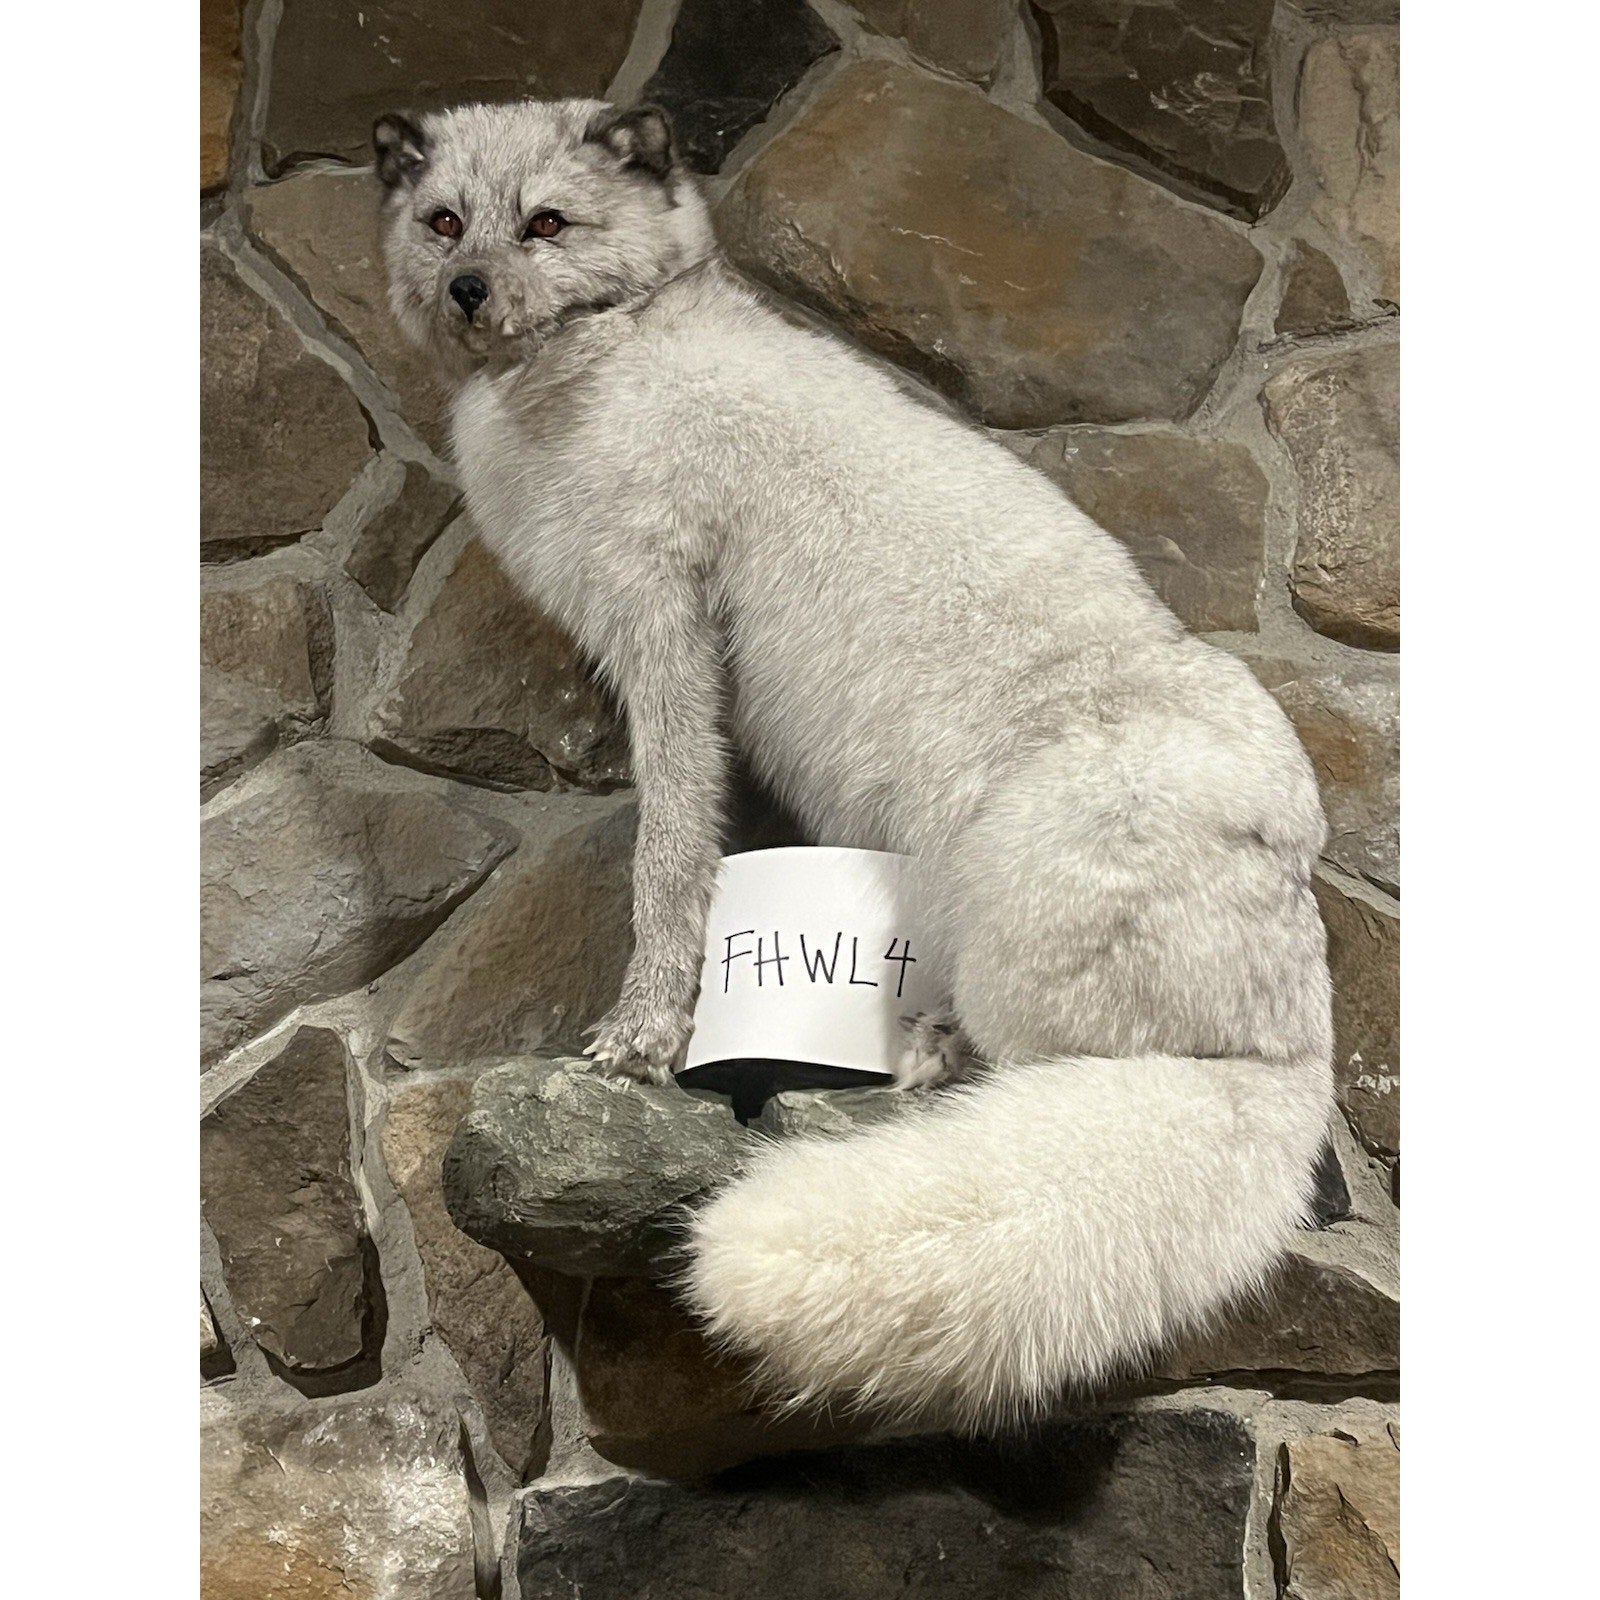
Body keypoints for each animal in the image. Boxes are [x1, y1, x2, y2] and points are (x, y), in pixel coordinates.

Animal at [373, 98, 1335, 1434]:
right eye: (444, 221)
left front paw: (640, 1035)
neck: (616, 347)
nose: (467, 290)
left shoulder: (660, 620)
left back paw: (928, 1053)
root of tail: (1287, 1031)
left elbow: (670, 853)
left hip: (1010, 919)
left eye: (547, 224)